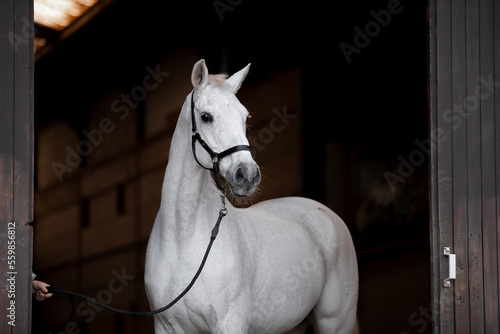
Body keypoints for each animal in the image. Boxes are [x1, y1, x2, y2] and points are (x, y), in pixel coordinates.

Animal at [145, 60, 360, 334]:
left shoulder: (230, 323)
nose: (247, 175)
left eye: (245, 116)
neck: (184, 241)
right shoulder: (166, 326)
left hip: (335, 322)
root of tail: (327, 214)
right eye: (206, 117)